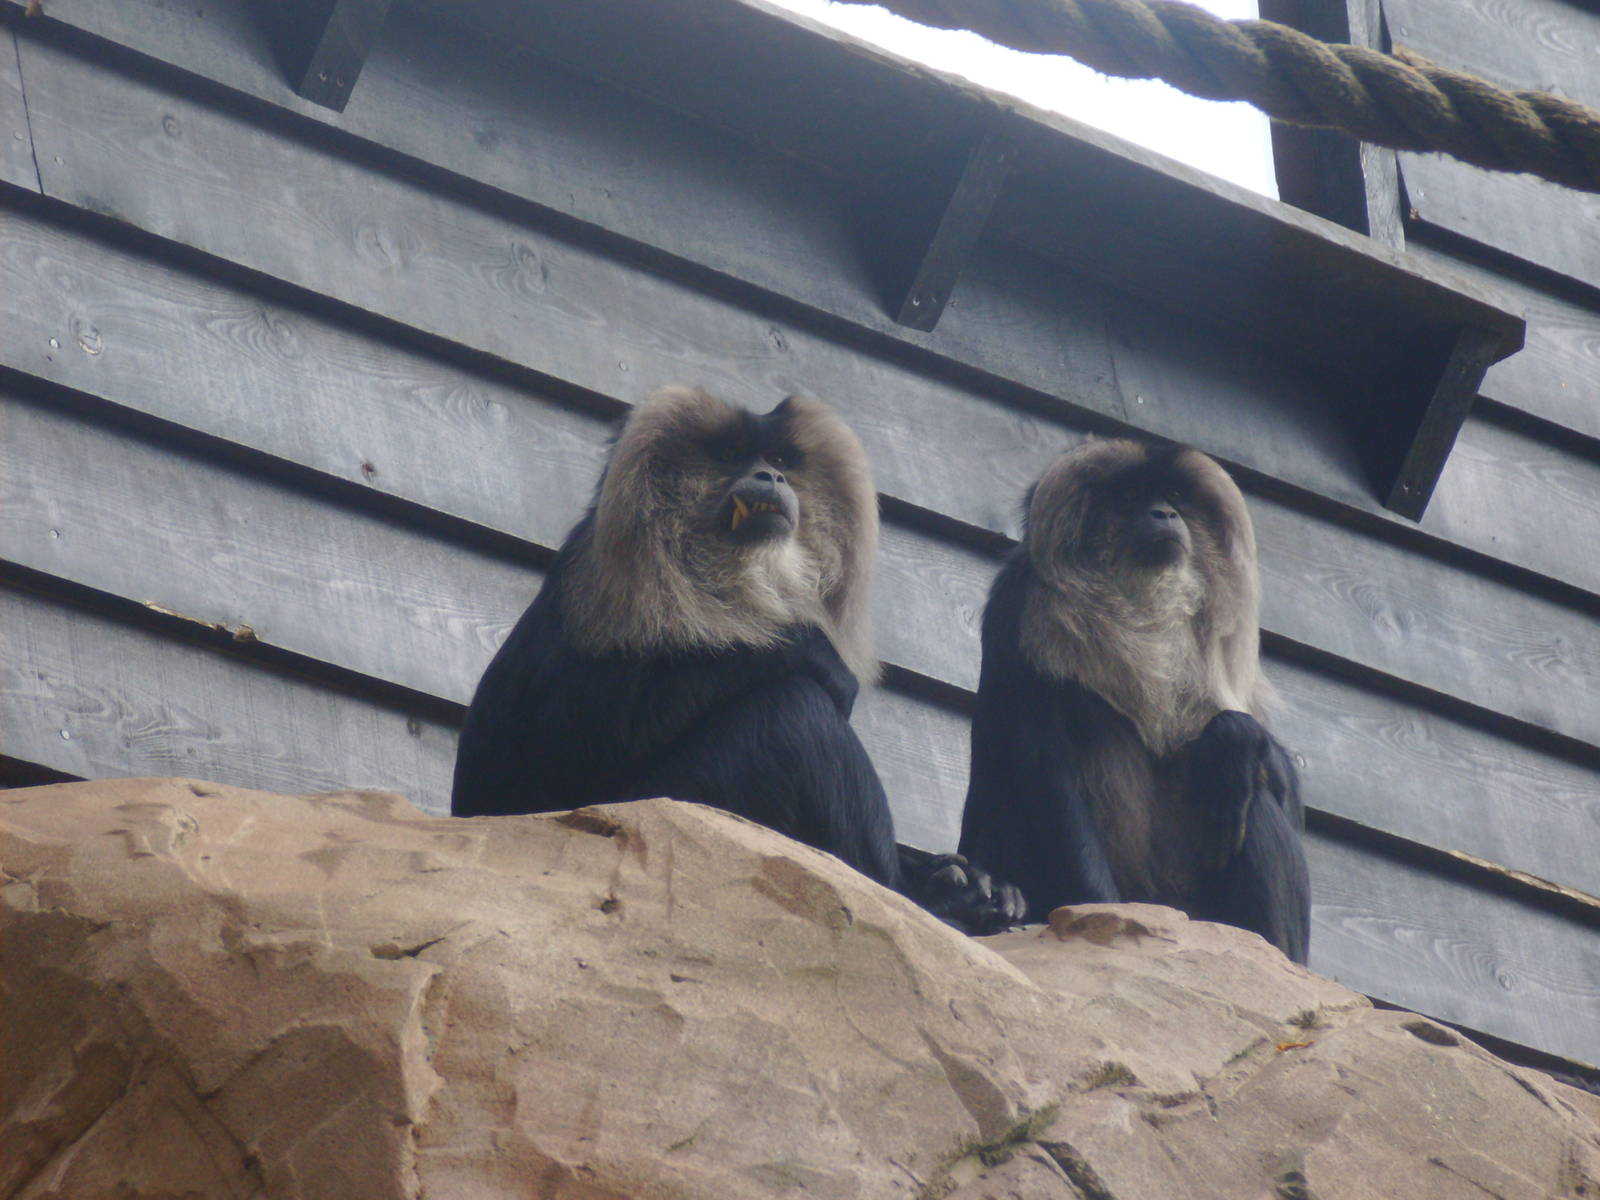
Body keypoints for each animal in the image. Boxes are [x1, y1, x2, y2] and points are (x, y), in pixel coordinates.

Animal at [453, 385, 1021, 932]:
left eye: (779, 458)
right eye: (729, 455)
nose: (768, 475)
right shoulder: (590, 585)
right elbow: (551, 749)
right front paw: (811, 653)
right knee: (794, 711)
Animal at [957, 438, 1310, 962]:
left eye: (1174, 497)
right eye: (1129, 498)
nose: (1164, 514)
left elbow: (1279, 786)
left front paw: (1236, 737)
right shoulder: (1017, 610)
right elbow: (1048, 777)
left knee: (1249, 794)